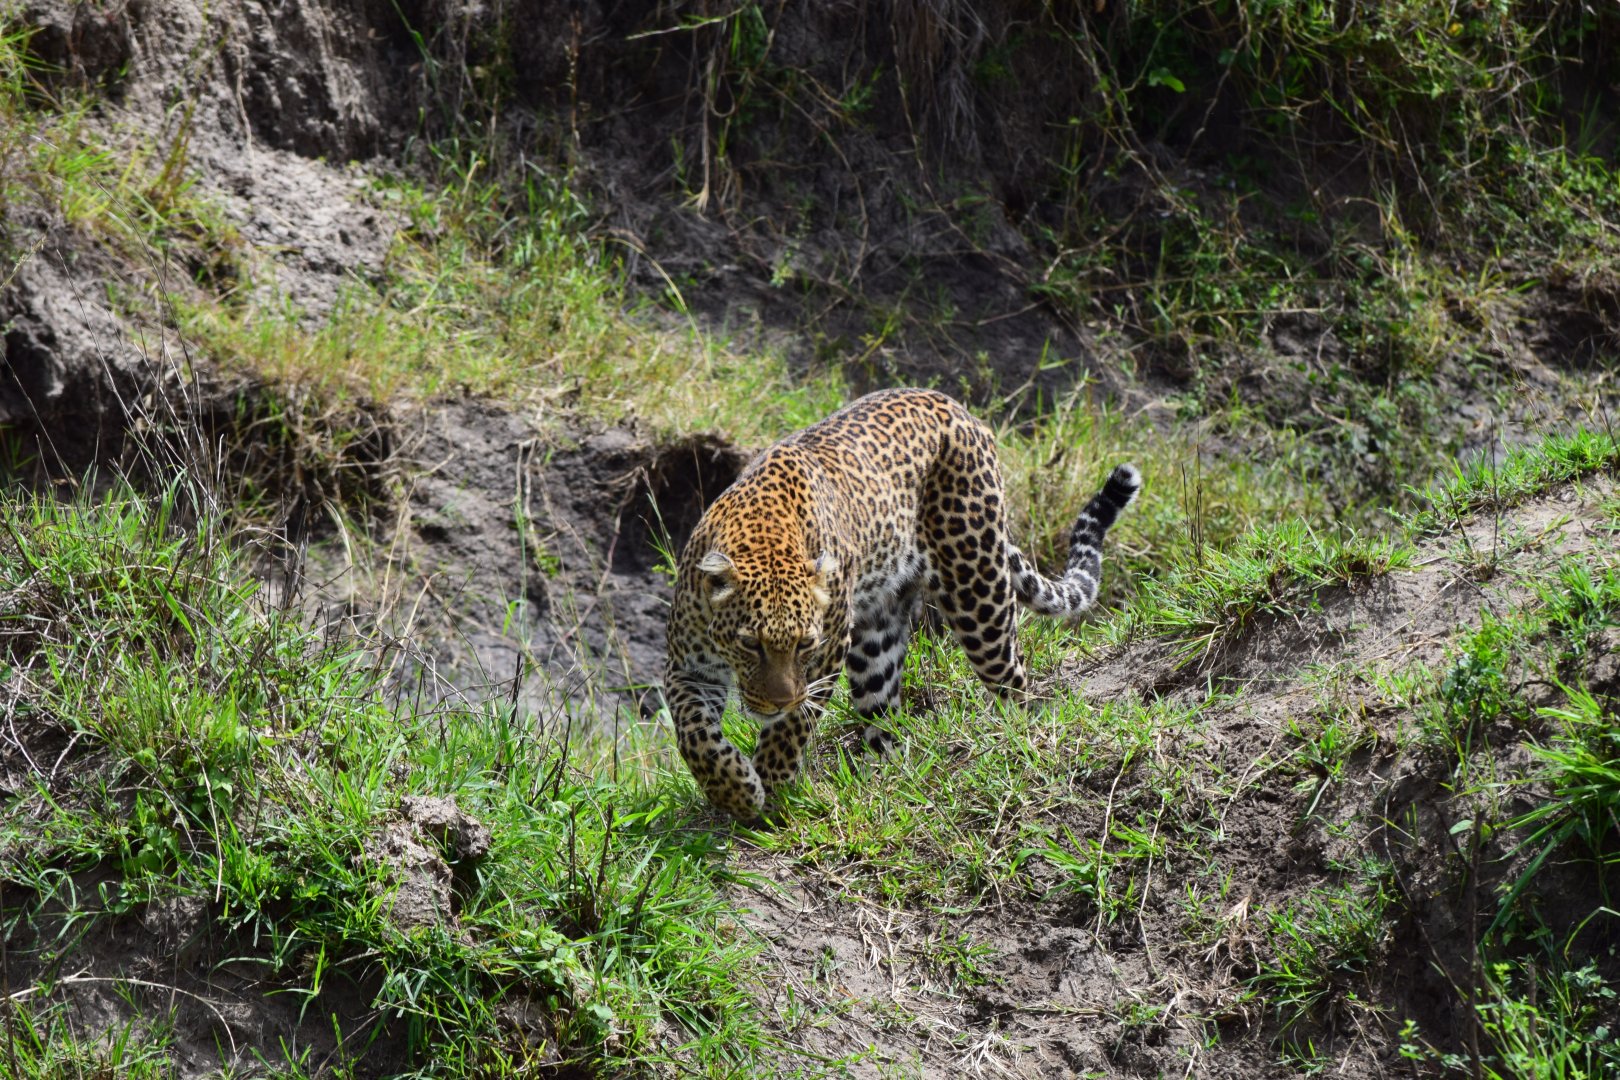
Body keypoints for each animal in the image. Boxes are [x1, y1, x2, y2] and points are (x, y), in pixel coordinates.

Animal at [662, 387, 1141, 820]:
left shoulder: (825, 656)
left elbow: (793, 727)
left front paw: (769, 780)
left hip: (978, 590)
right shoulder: (689, 668)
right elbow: (694, 736)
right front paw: (735, 791)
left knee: (1015, 680)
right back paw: (886, 777)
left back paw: (1017, 739)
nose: (779, 701)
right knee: (884, 715)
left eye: (804, 645)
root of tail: (958, 408)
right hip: (876, 635)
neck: (764, 535)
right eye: (750, 644)